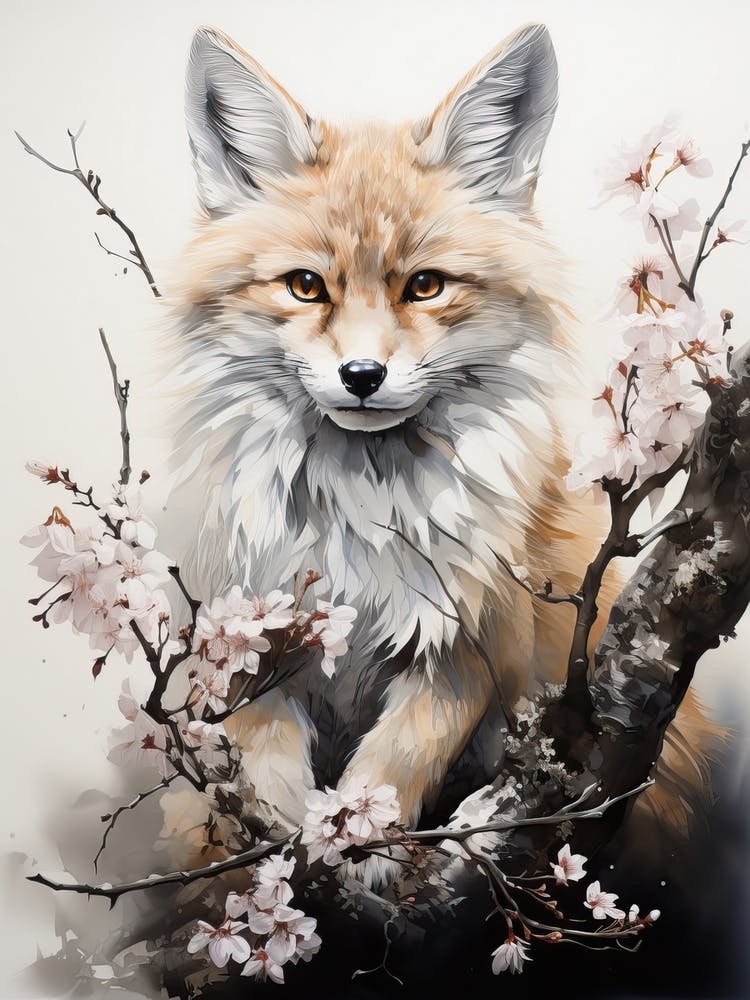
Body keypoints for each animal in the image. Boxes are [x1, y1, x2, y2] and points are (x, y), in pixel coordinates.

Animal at [162, 22, 718, 880]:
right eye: (305, 286)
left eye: (425, 286)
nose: (362, 376)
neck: (355, 522)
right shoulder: (246, 634)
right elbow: (266, 760)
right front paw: (280, 850)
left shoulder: (469, 642)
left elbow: (396, 763)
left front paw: (358, 847)